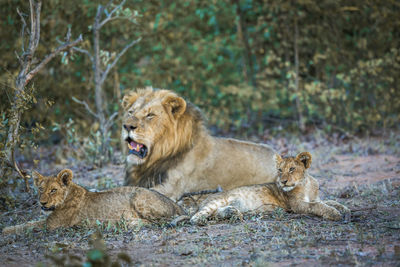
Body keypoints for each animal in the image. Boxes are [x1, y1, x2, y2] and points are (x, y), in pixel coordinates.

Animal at [2, 171, 184, 236]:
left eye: (53, 190)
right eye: (40, 189)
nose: (42, 202)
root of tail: (177, 204)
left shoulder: (52, 224)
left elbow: (28, 225)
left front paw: (5, 230)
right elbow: (30, 222)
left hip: (138, 196)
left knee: (159, 221)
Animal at [189, 152, 348, 225]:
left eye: (291, 169)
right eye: (279, 170)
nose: (283, 182)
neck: (306, 184)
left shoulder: (316, 197)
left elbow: (331, 202)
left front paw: (345, 209)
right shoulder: (296, 205)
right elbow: (316, 206)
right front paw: (334, 214)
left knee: (217, 213)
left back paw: (233, 213)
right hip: (217, 201)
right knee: (198, 215)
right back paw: (201, 220)